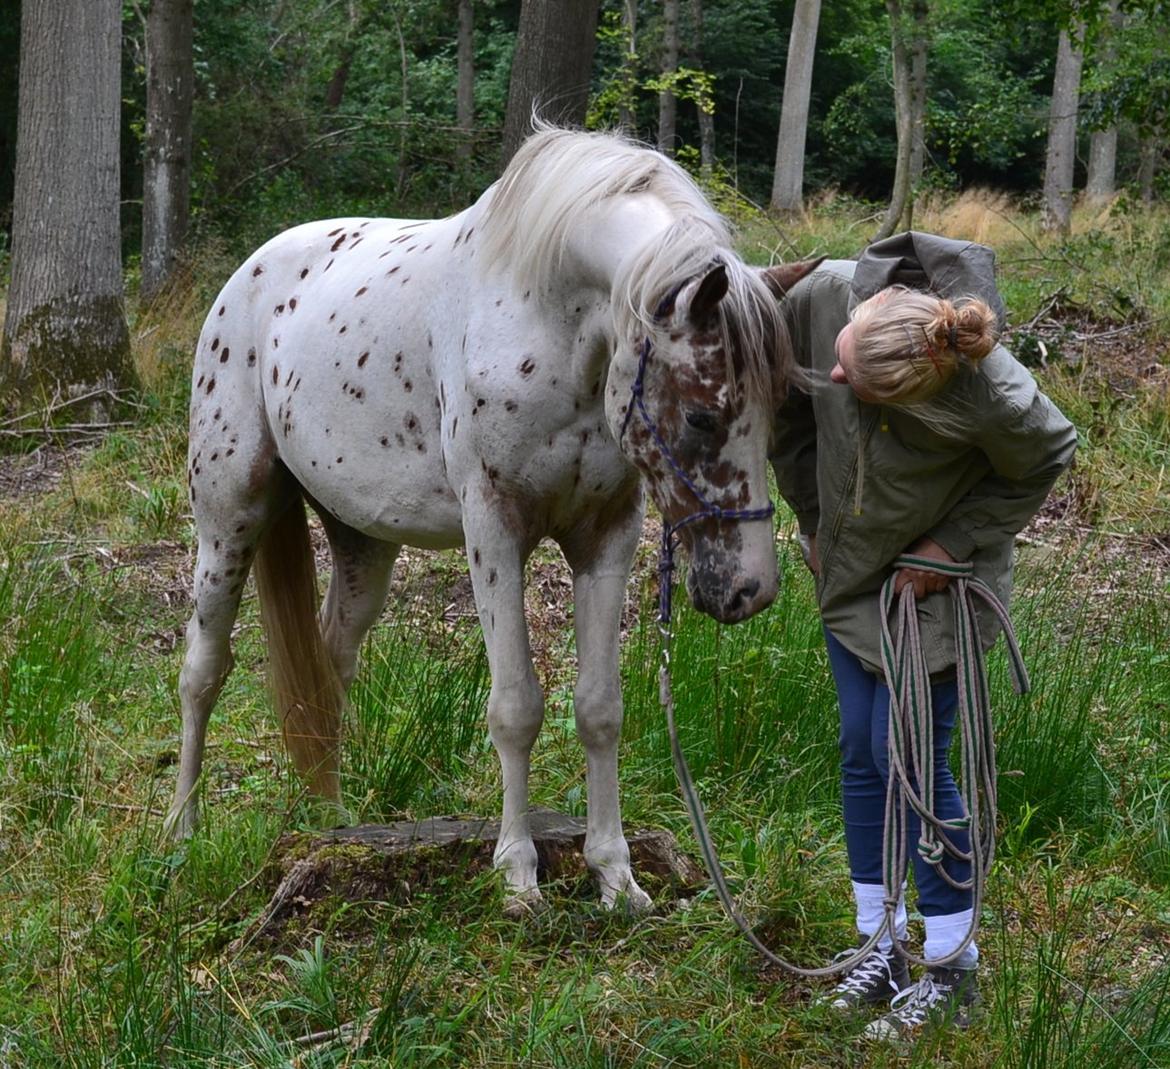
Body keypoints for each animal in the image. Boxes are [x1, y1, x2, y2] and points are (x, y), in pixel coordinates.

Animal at [170, 125, 814, 907]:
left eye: (779, 406)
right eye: (699, 414)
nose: (750, 589)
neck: (549, 323)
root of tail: (248, 278)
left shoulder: (608, 533)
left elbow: (600, 708)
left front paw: (615, 874)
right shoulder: (494, 531)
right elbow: (515, 707)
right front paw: (518, 875)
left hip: (361, 542)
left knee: (329, 663)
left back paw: (328, 817)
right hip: (228, 514)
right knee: (203, 668)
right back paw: (180, 832)